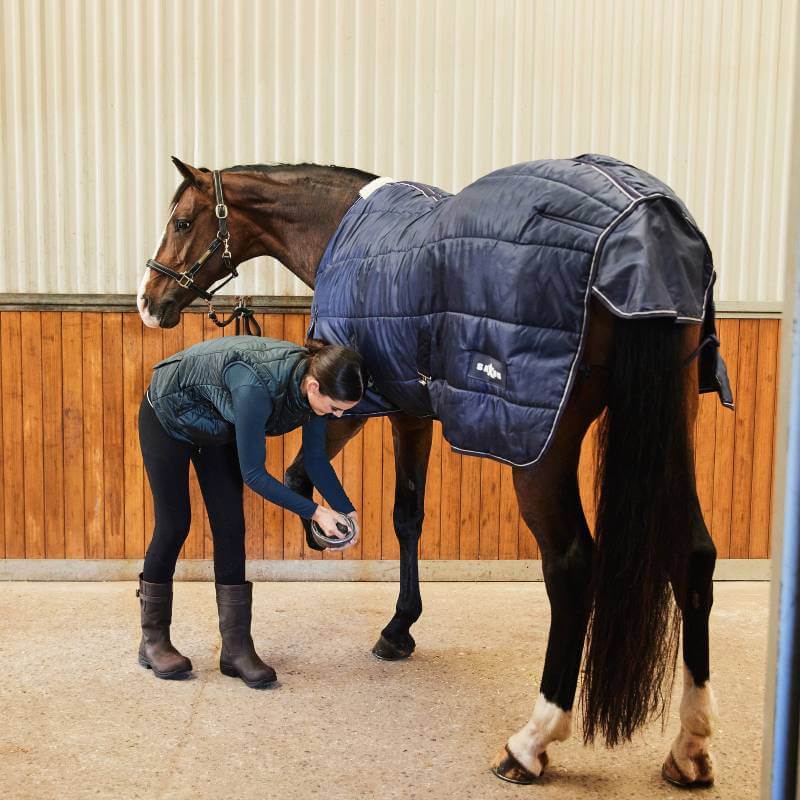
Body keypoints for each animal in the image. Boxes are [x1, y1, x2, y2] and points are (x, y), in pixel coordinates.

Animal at [137, 156, 732, 787]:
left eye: (181, 222)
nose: (148, 302)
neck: (342, 228)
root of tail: (644, 232)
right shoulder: (414, 412)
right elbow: (408, 515)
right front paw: (400, 628)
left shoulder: (359, 408)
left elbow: (302, 476)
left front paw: (326, 537)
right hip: (672, 428)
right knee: (694, 555)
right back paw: (690, 745)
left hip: (539, 448)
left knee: (572, 568)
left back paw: (531, 742)